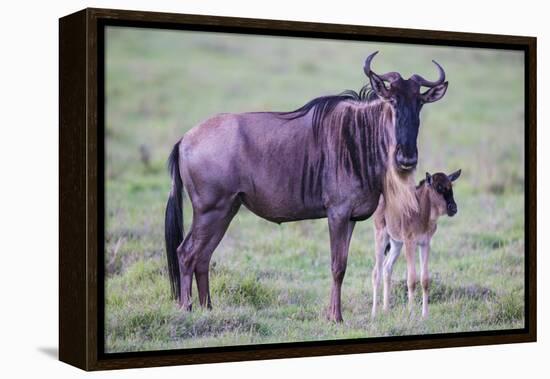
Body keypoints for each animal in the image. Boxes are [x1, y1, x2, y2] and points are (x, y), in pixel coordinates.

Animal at [374, 171, 464, 320]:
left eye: (450, 186)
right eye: (439, 187)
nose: (453, 208)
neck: (420, 212)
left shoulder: (425, 244)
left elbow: (425, 279)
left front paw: (425, 315)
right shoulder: (410, 243)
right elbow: (411, 279)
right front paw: (411, 314)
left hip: (396, 244)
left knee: (387, 268)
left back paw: (386, 310)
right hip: (381, 236)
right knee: (376, 272)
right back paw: (374, 313)